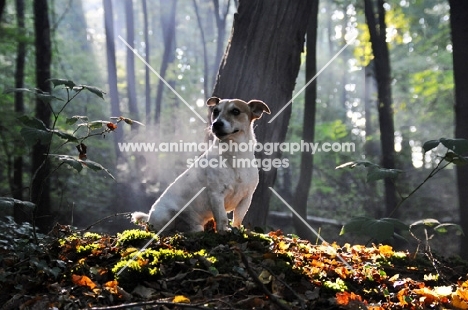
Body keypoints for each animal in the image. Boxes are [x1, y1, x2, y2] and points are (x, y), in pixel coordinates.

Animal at [132, 97, 270, 232]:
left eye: (235, 111)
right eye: (215, 111)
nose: (216, 124)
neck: (234, 155)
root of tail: (149, 217)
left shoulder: (246, 198)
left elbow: (237, 219)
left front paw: (236, 231)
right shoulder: (216, 195)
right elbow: (222, 218)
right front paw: (224, 232)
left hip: (195, 225)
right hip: (164, 216)